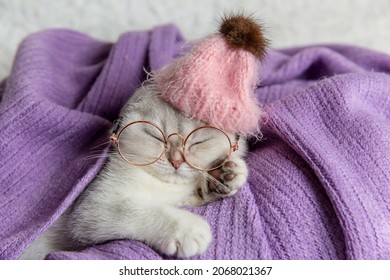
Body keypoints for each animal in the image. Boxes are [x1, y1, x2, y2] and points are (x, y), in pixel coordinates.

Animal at [18, 83, 248, 260]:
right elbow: (137, 210)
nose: (175, 160)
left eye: (199, 141)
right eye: (155, 136)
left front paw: (223, 175)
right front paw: (187, 228)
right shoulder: (92, 208)